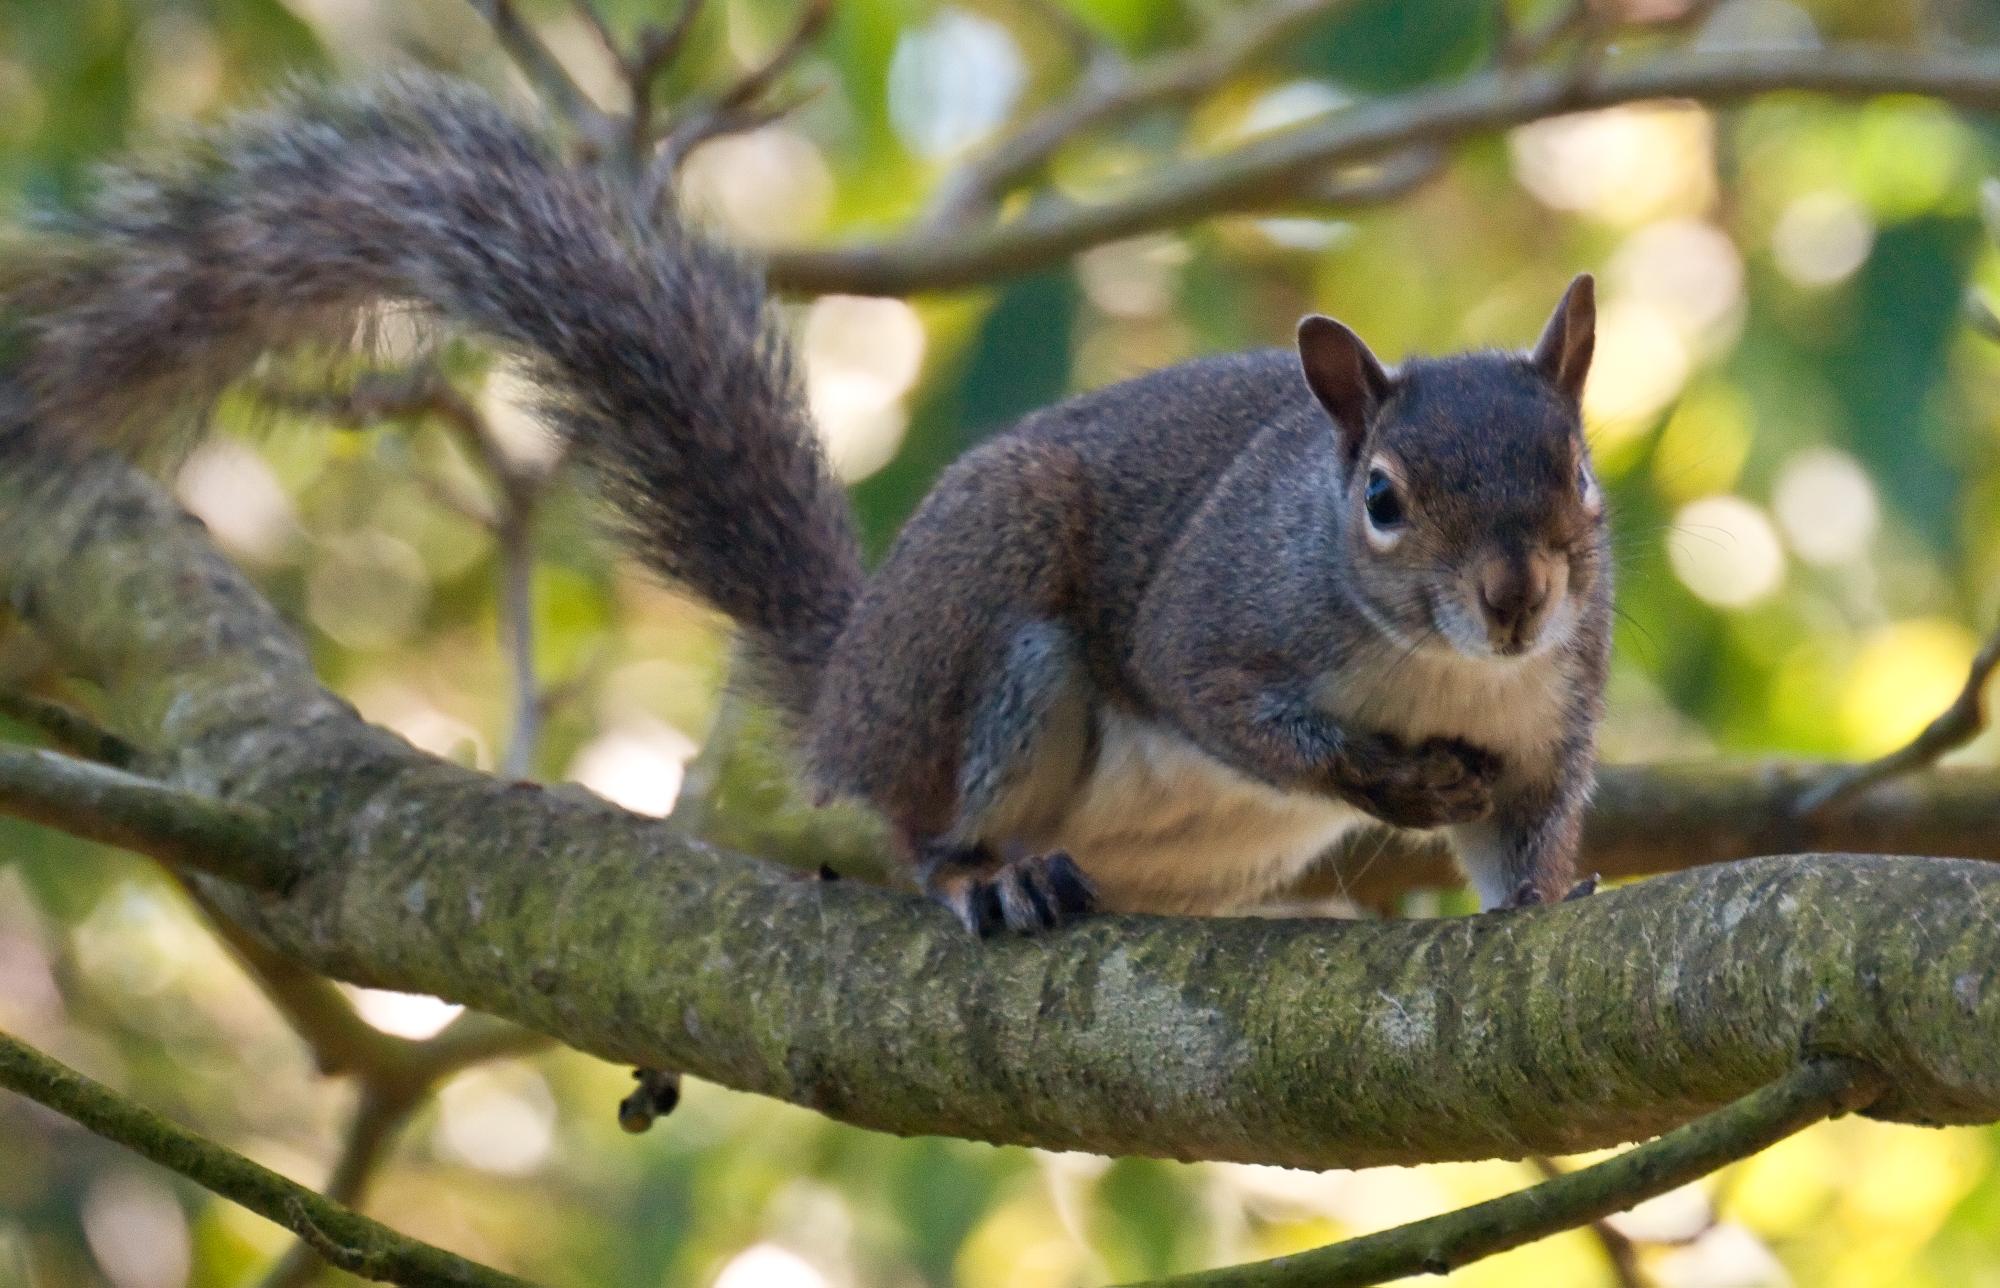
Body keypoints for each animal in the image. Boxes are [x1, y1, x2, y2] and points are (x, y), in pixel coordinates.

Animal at [3, 75, 1608, 932]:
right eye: (1383, 499)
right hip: (987, 644)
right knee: (923, 829)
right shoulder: (1220, 611)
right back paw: (985, 879)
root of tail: (850, 689)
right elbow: (1218, 696)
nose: (1516, 599)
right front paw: (1382, 778)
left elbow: (1529, 823)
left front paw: (1541, 899)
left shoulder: (1549, 717)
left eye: (1579, 473)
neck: (1438, 668)